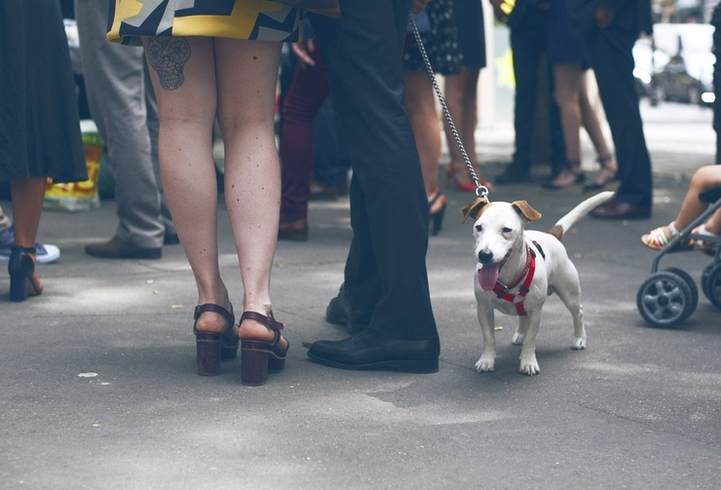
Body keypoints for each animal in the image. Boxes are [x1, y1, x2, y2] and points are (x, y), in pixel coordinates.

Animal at [462, 191, 612, 376]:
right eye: (478, 227)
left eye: (506, 230)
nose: (484, 254)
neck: (506, 279)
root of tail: (552, 236)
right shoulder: (483, 309)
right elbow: (488, 337)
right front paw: (486, 360)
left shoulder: (536, 312)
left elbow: (530, 339)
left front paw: (528, 362)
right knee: (521, 315)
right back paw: (520, 334)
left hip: (570, 294)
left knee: (578, 313)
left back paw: (579, 339)